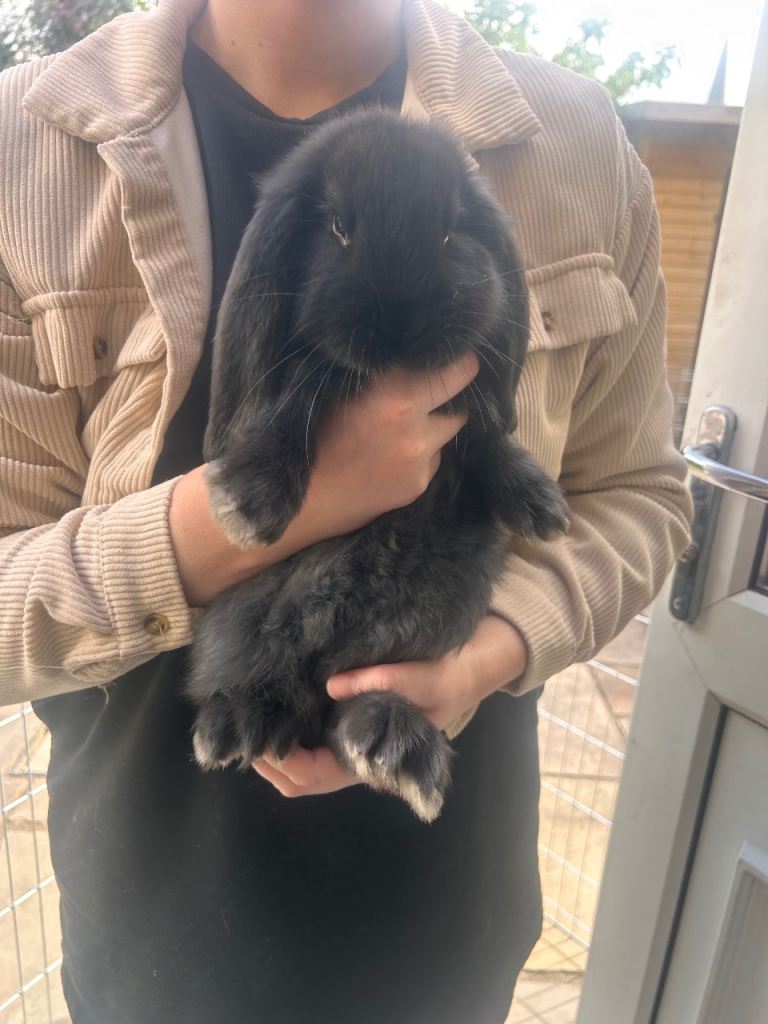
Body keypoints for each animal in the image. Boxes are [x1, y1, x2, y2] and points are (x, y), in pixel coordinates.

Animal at [185, 107, 569, 822]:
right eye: (339, 226)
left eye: (450, 229)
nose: (399, 319)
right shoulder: (306, 381)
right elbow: (292, 403)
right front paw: (250, 503)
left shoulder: (465, 405)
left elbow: (483, 433)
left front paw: (541, 504)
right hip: (245, 619)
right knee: (263, 679)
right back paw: (233, 727)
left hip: (425, 616)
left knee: (346, 705)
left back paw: (394, 747)